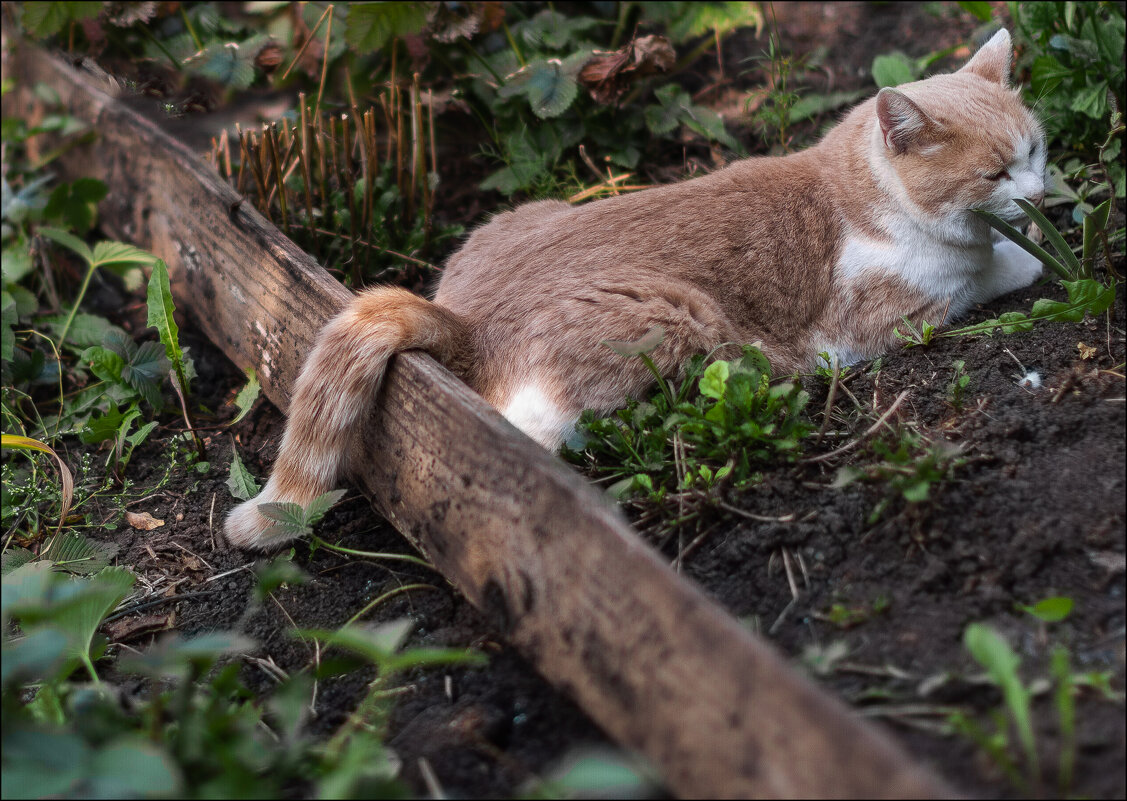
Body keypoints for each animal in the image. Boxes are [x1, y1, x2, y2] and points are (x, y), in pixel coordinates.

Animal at [226, 26, 1045, 552]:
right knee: (527, 433)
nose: (1043, 193)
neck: (858, 188)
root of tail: (459, 318)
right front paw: (1029, 258)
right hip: (668, 316)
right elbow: (988, 271)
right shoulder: (893, 315)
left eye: (1035, 150)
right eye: (995, 173)